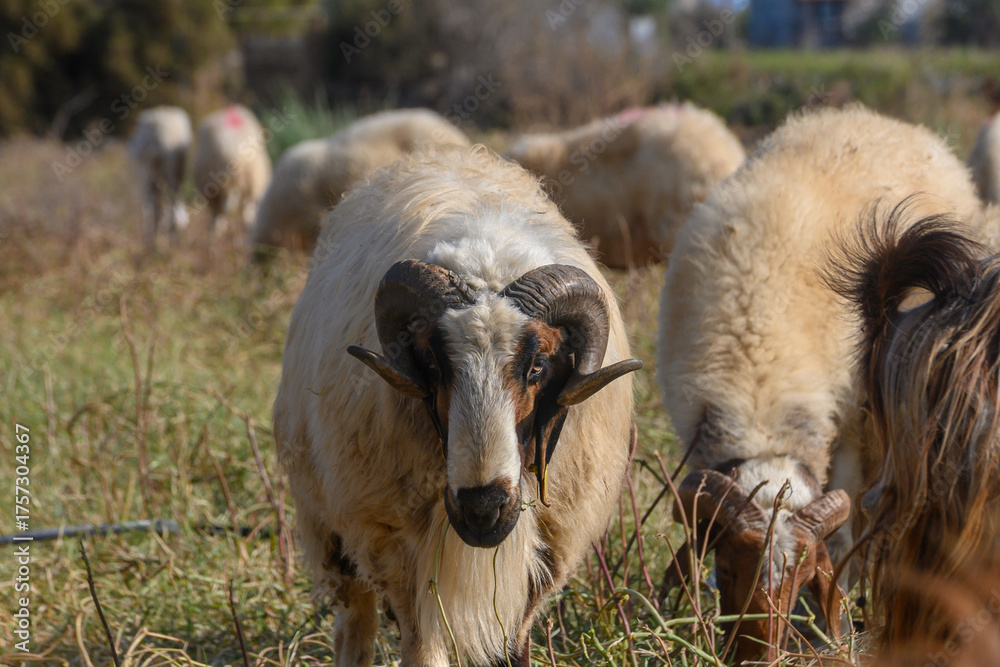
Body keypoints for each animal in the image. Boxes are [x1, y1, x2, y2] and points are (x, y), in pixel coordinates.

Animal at [272, 145, 640, 666]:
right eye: (432, 362)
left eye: (537, 366)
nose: (482, 507)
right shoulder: (394, 547)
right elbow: (422, 646)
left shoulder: (546, 557)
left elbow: (514, 647)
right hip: (331, 524)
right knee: (355, 624)